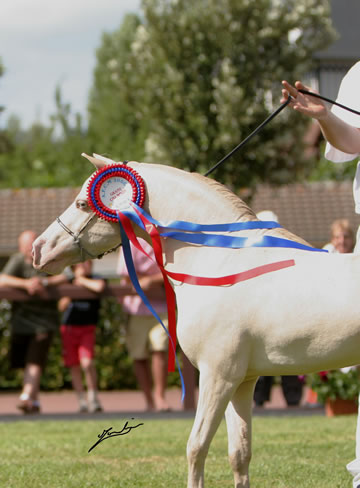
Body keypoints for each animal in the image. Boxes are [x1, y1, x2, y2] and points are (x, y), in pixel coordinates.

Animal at [32, 155, 360, 484]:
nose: (38, 249)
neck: (223, 262)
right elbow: (239, 454)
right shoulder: (243, 381)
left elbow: (196, 446)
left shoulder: (218, 375)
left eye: (82, 204)